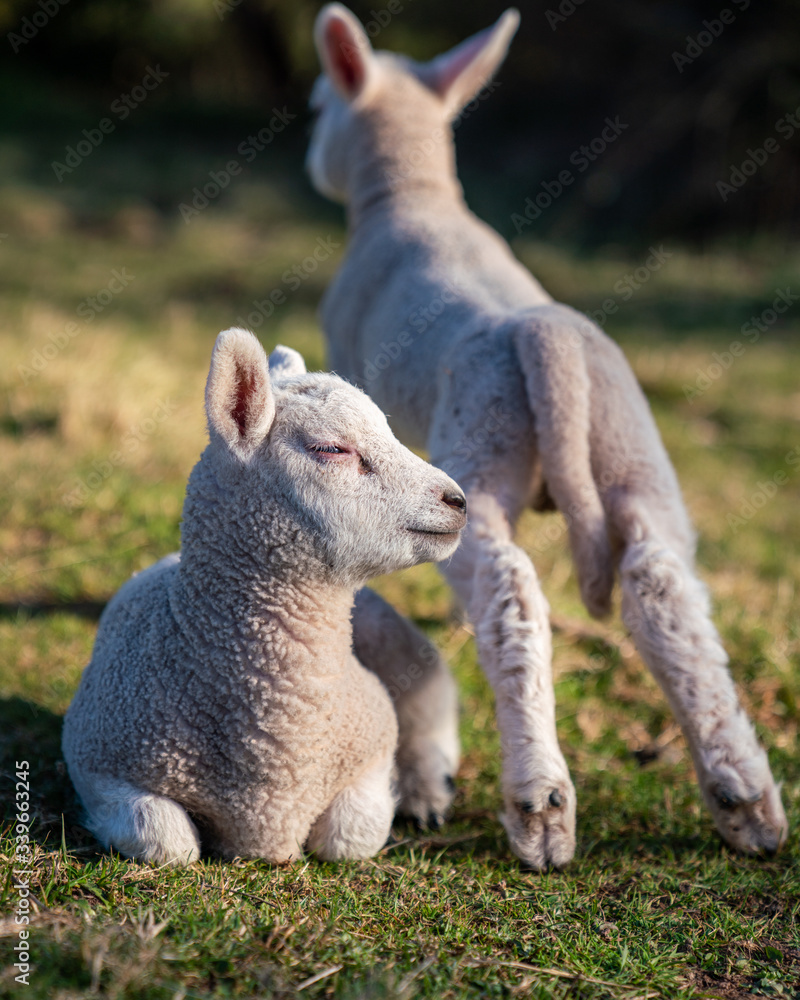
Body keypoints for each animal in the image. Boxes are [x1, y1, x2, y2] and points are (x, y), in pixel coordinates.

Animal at [62, 328, 467, 865]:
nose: (458, 501)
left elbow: (350, 837)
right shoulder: (98, 762)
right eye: (331, 448)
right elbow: (168, 842)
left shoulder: (372, 745)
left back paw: (427, 792)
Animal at [304, 3, 788, 868]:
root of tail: (540, 330)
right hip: (635, 455)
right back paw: (747, 803)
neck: (411, 195)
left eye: (317, 107)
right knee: (664, 594)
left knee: (512, 594)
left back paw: (541, 809)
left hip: (480, 466)